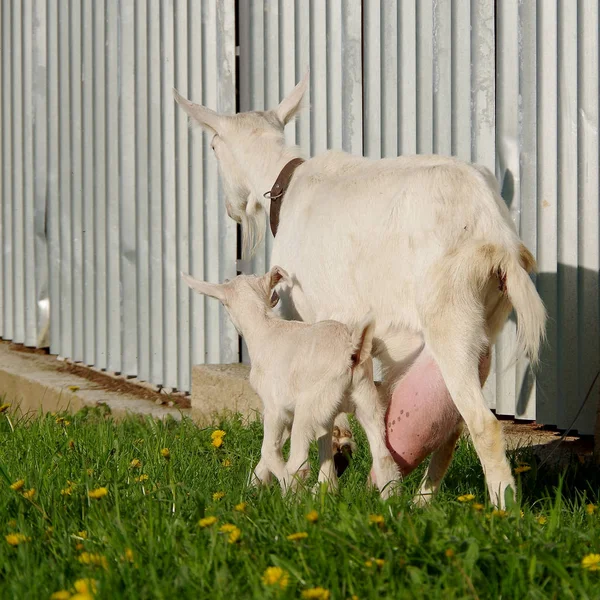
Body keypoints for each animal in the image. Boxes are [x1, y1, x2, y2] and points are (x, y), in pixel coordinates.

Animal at [172, 72, 544, 508]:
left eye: (213, 146)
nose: (232, 210)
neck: (288, 185)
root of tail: (495, 235)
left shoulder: (309, 320)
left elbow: (317, 415)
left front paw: (312, 476)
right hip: (487, 323)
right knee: (451, 428)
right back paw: (421, 501)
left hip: (451, 318)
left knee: (482, 423)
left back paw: (502, 509)